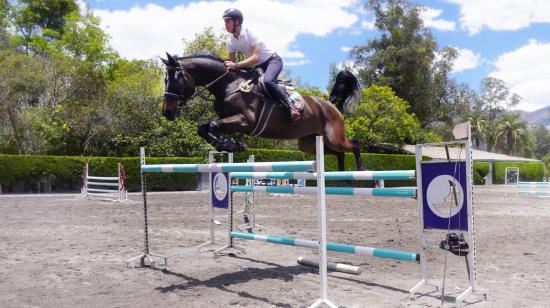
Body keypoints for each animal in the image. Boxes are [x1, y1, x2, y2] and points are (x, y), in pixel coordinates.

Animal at [162, 52, 364, 171]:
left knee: (354, 145)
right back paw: (342, 176)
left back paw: (360, 171)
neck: (228, 85)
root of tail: (330, 105)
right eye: (165, 80)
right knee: (338, 153)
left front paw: (229, 145)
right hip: (308, 143)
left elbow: (213, 125)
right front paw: (228, 145)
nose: (167, 112)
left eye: (176, 79)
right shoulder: (227, 119)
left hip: (333, 137)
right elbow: (204, 127)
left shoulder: (245, 121)